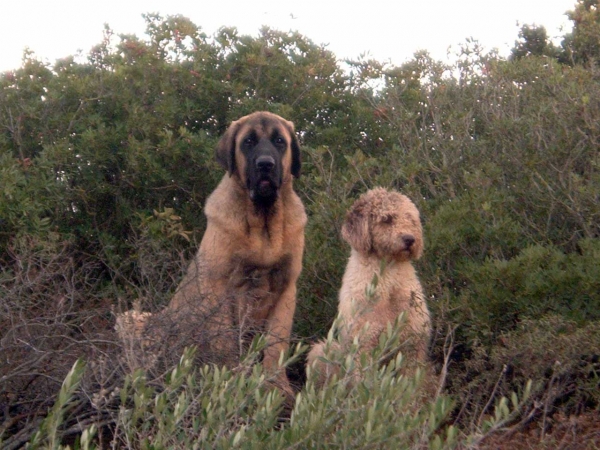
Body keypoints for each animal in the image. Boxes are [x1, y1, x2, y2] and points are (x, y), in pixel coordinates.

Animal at [166, 113, 308, 394]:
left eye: (279, 141)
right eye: (248, 142)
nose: (265, 164)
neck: (263, 223)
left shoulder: (287, 288)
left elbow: (276, 343)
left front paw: (277, 387)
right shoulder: (218, 285)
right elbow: (225, 341)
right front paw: (230, 380)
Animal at [308, 188, 428, 384]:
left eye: (410, 219)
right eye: (386, 218)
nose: (410, 239)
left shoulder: (413, 346)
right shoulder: (363, 346)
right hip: (322, 351)